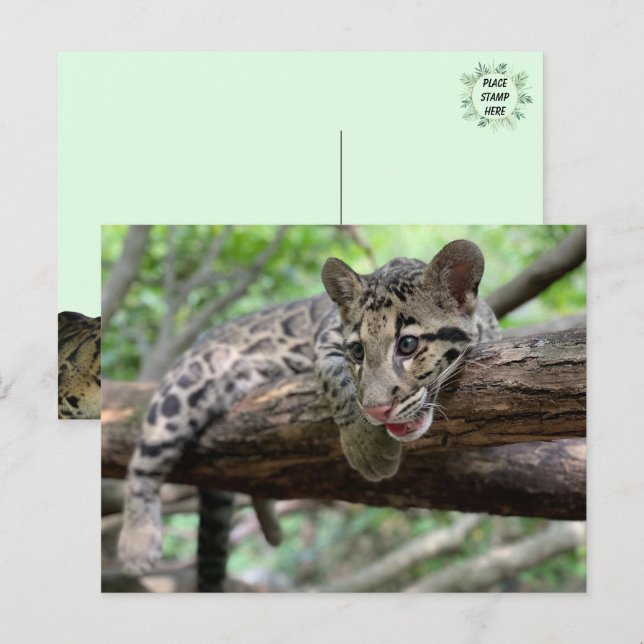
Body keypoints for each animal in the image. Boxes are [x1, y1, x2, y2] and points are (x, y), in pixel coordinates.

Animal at [118, 239, 501, 586]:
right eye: (357, 352)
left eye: (408, 345)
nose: (378, 410)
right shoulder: (326, 339)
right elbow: (338, 380)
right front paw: (366, 444)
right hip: (185, 386)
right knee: (145, 460)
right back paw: (137, 541)